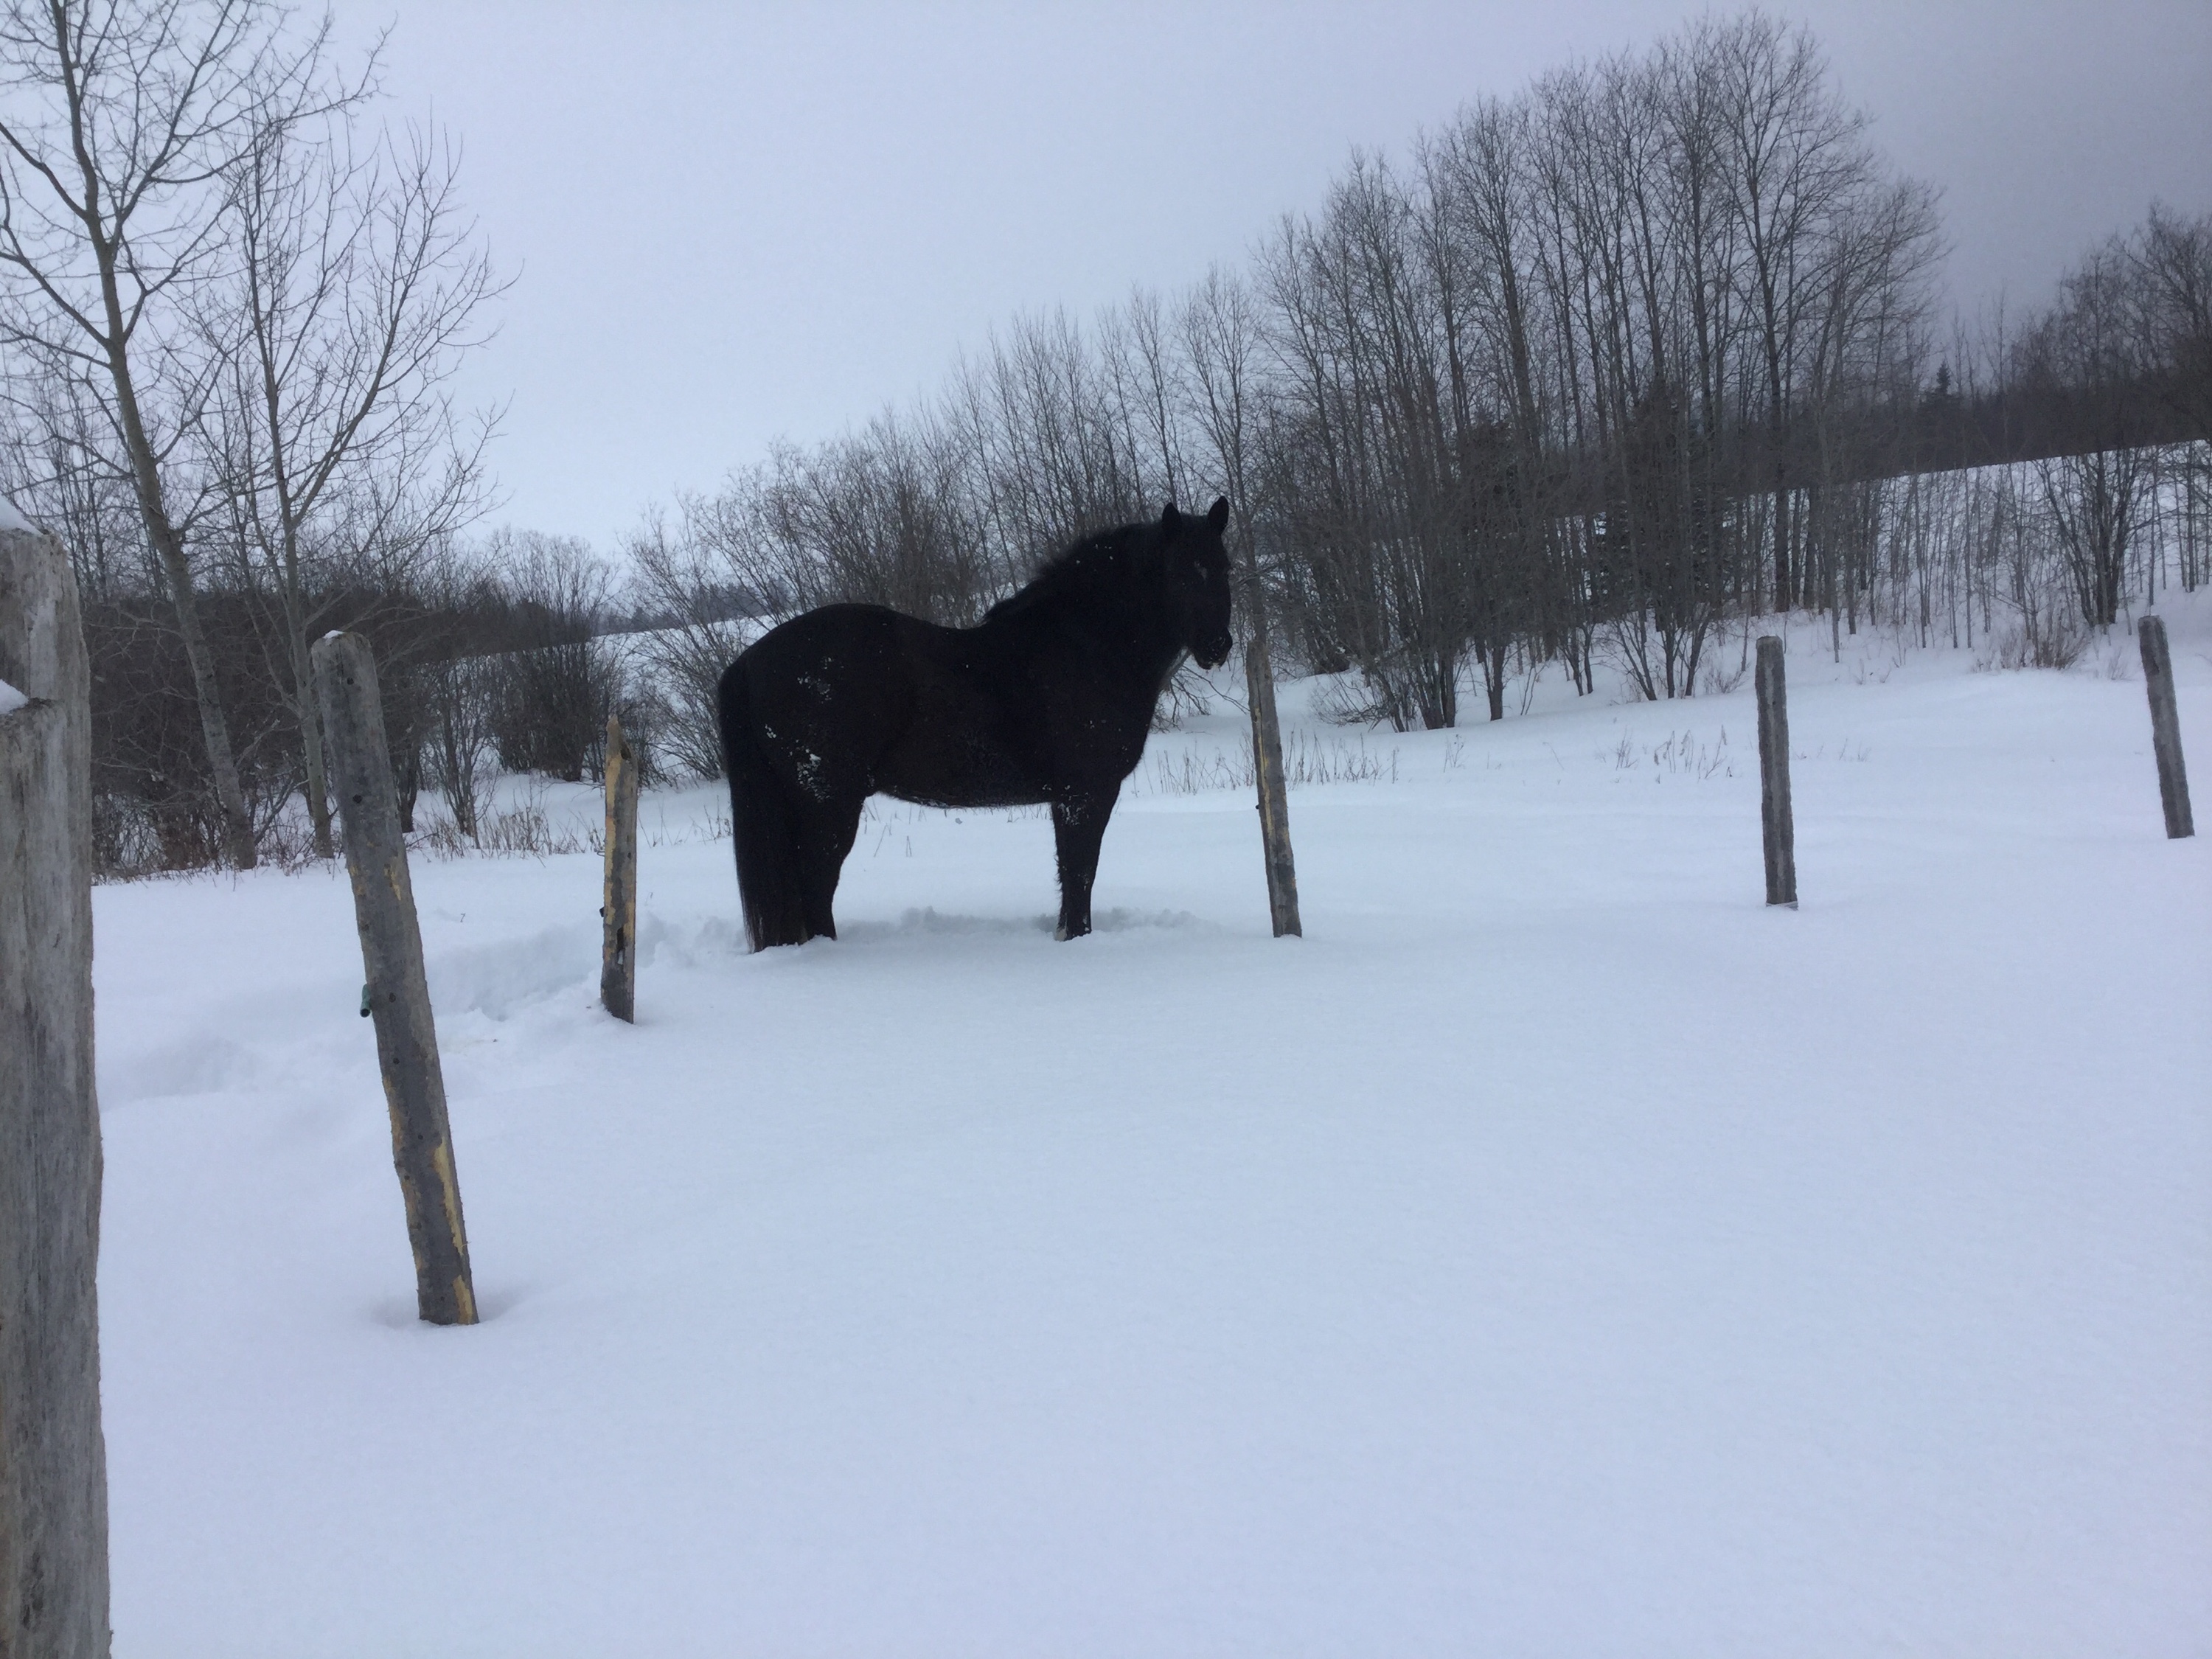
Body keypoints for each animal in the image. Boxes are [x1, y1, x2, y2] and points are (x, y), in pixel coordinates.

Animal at [716, 497, 1234, 950]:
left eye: (1223, 568)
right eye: (1179, 573)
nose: (1217, 645)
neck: (1086, 647)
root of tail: (751, 660)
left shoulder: (1068, 799)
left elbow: (1070, 876)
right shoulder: (1085, 794)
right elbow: (1081, 874)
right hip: (827, 804)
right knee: (816, 885)